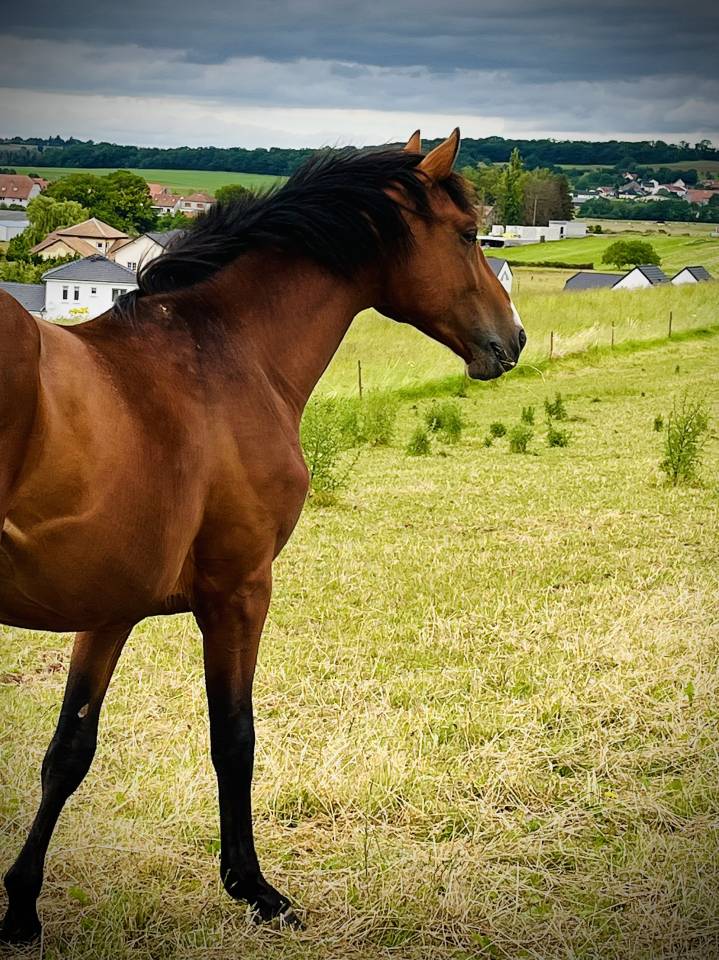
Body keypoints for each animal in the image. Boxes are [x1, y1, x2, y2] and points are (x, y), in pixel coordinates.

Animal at [0, 128, 525, 942]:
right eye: (469, 234)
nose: (514, 338)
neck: (223, 355)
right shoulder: (239, 592)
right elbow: (234, 737)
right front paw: (254, 887)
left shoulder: (110, 608)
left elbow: (69, 750)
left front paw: (22, 904)